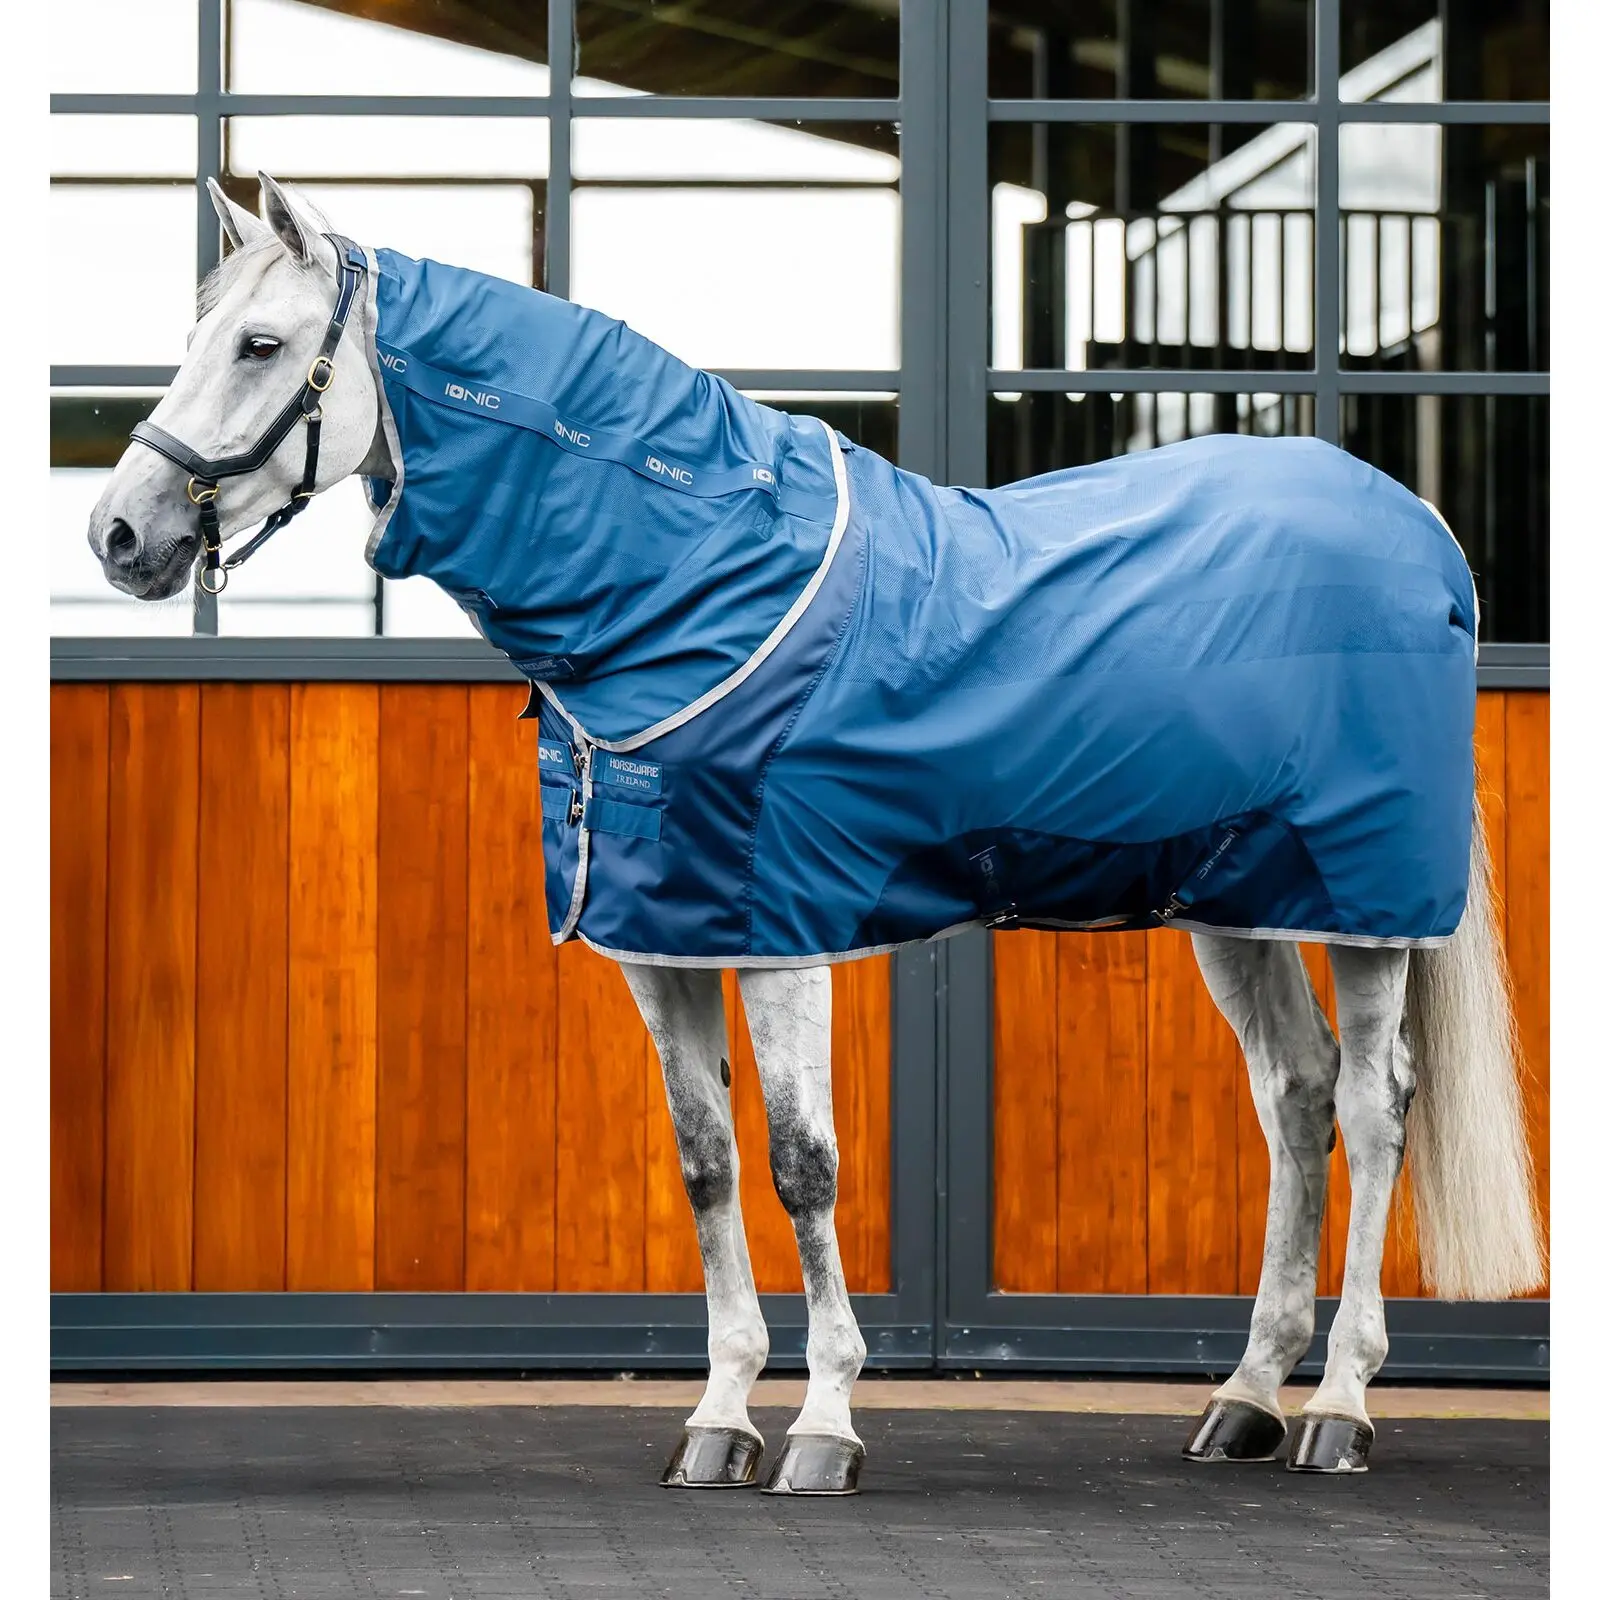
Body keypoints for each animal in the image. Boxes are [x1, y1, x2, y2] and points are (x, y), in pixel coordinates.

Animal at [85, 174, 1545, 1495]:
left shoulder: (780, 927)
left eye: (258, 345)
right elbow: (708, 1166)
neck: (691, 574)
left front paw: (826, 1426)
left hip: (1365, 907)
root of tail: (1417, 525)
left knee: (1372, 1104)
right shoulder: (662, 940)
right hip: (1242, 900)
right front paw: (720, 1420)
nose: (119, 534)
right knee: (1295, 1099)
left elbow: (802, 1168)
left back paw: (1338, 1408)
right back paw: (1242, 1398)